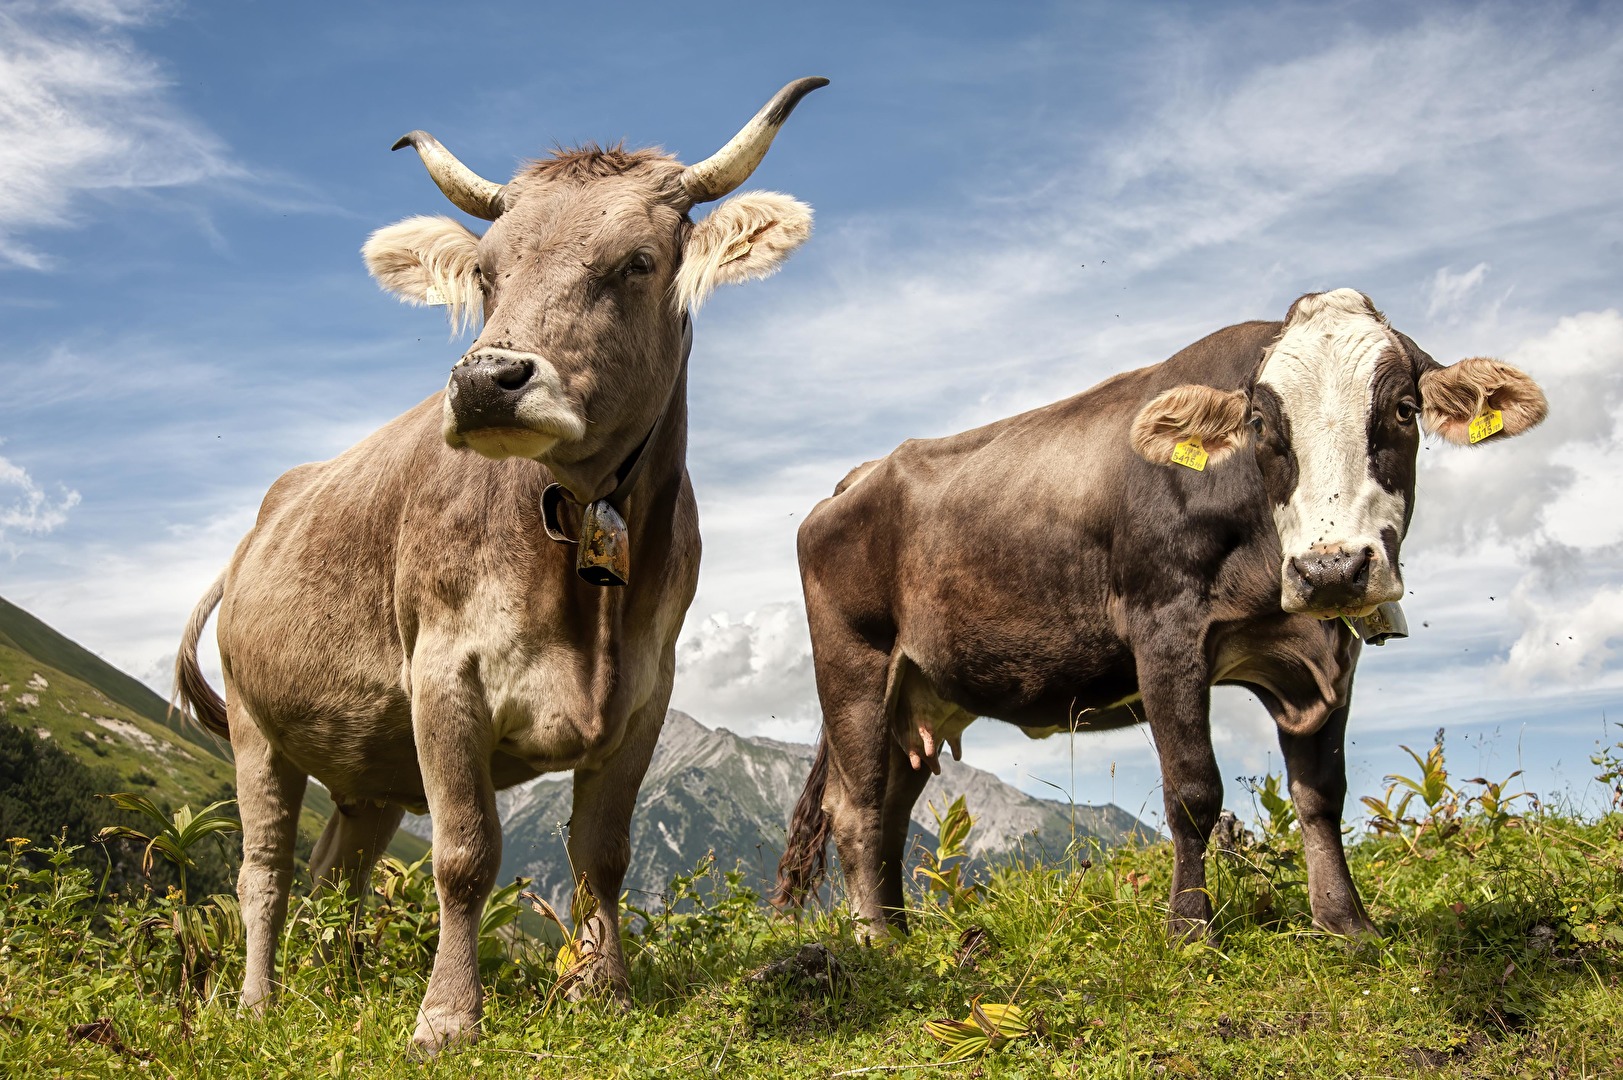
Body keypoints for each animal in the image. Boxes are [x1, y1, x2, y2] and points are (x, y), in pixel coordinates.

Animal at [172, 77, 826, 1054]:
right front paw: (446, 1016)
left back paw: (340, 987)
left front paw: (605, 991)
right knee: (265, 872)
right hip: (258, 725)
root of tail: (258, 527)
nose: (485, 381)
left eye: (637, 262)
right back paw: (259, 1003)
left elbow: (602, 853)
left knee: (336, 871)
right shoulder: (445, 677)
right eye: (487, 272)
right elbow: (465, 855)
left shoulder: (646, 694)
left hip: (369, 764)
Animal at [774, 289, 1547, 941]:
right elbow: (1193, 791)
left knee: (892, 807)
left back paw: (901, 932)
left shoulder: (1331, 651)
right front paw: (1189, 931)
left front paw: (1344, 923)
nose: (1330, 567)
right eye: (1261, 424)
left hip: (919, 695)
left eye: (1404, 410)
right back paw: (877, 941)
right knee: (858, 808)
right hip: (855, 664)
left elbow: (1321, 793)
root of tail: (858, 477)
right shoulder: (1166, 631)